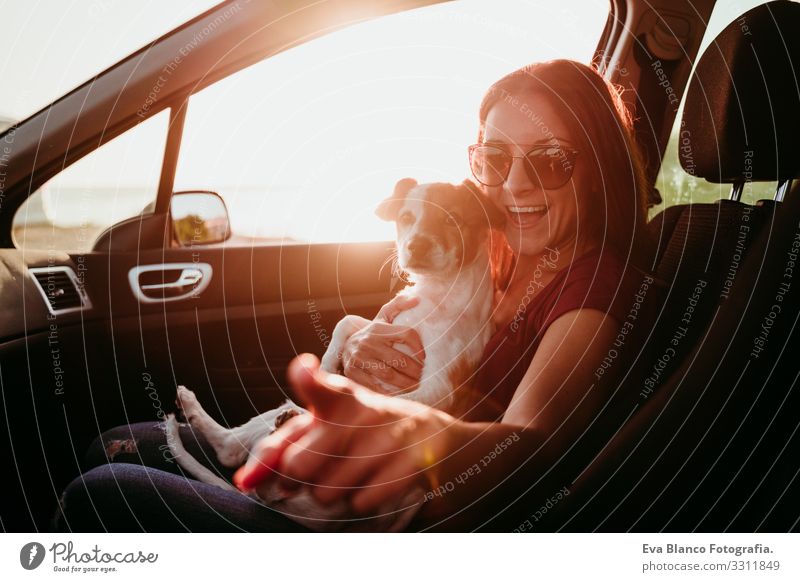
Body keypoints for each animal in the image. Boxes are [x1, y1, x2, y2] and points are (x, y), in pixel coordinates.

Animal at [165, 179, 504, 532]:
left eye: (453, 218)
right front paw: (326, 368)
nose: (417, 245)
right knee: (232, 449)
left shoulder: (440, 387)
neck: (437, 294)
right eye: (407, 218)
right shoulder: (381, 325)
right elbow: (346, 322)